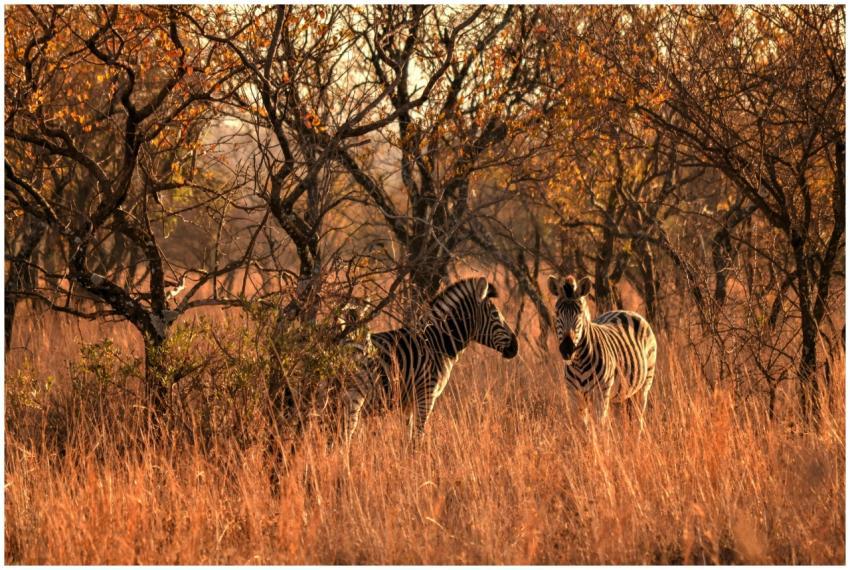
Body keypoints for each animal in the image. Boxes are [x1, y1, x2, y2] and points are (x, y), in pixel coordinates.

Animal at [343, 277, 518, 443]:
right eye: (495, 314)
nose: (515, 347)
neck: (436, 343)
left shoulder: (408, 403)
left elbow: (408, 436)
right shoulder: (426, 394)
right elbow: (418, 437)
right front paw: (418, 455)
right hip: (353, 396)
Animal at [547, 274, 657, 429]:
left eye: (580, 313)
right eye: (557, 313)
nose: (567, 349)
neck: (578, 363)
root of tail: (625, 311)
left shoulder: (601, 394)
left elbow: (599, 426)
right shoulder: (573, 394)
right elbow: (582, 428)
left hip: (644, 383)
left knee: (638, 420)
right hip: (619, 394)